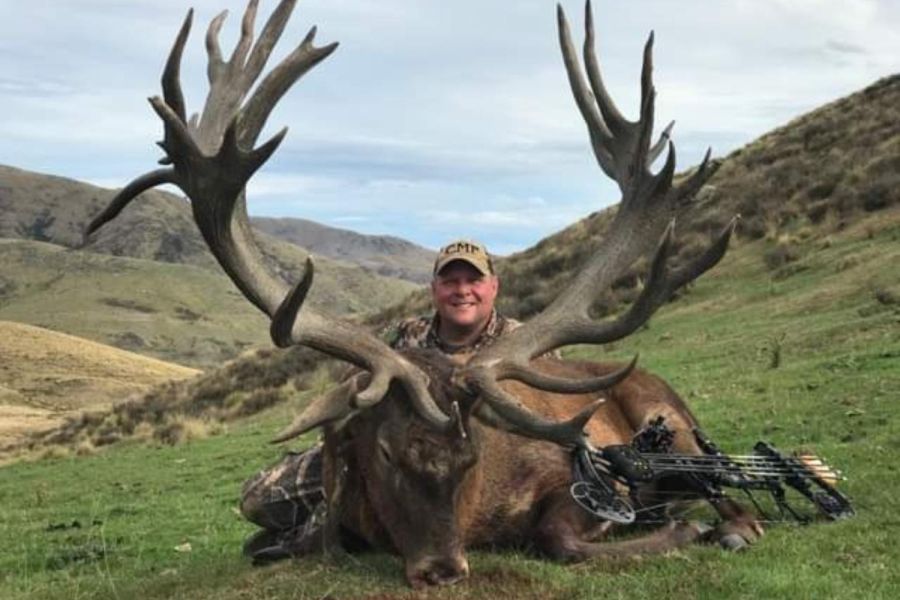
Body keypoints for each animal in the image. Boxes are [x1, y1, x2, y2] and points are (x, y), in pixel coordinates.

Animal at [87, 0, 762, 589]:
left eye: (471, 456)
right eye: (385, 452)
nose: (443, 569)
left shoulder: (585, 480)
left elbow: (558, 538)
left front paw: (682, 528)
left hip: (671, 420)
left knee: (731, 494)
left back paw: (729, 525)